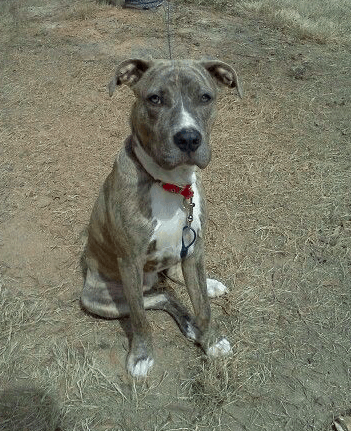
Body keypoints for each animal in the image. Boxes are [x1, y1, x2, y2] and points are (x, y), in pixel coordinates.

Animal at [81, 58, 243, 378]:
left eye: (205, 97)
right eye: (155, 98)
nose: (189, 138)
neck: (170, 184)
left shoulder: (194, 247)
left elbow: (203, 306)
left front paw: (211, 340)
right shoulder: (130, 261)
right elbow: (140, 319)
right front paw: (142, 355)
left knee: (173, 284)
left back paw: (207, 291)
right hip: (98, 299)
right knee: (157, 299)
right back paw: (188, 324)